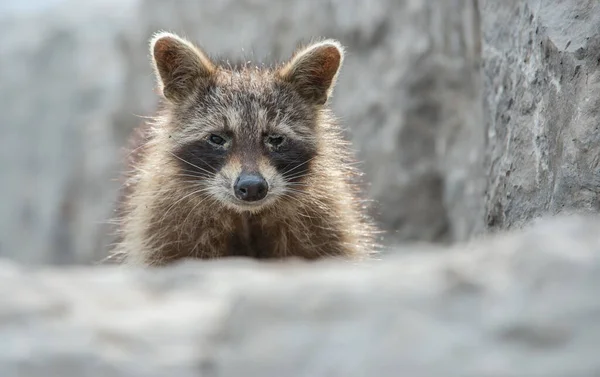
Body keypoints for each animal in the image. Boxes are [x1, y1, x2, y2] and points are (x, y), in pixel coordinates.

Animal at [108, 31, 380, 264]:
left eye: (276, 139)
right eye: (217, 138)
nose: (252, 187)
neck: (245, 216)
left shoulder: (323, 224)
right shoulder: (166, 225)